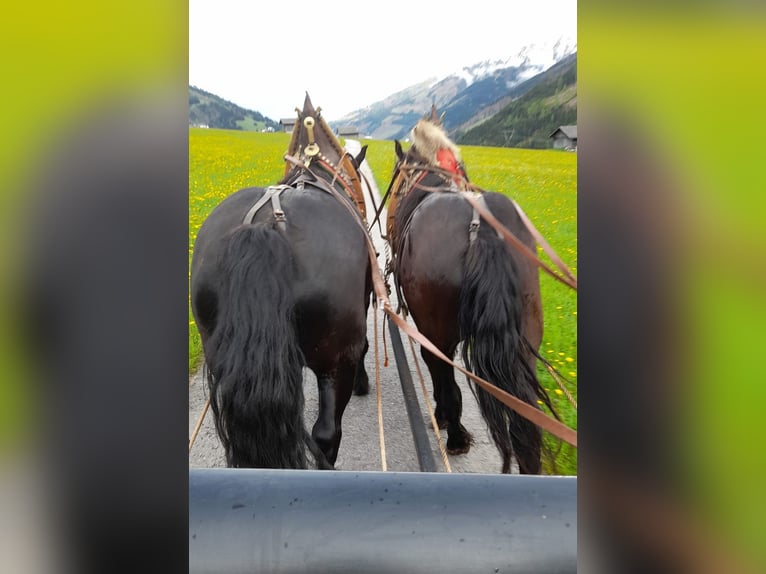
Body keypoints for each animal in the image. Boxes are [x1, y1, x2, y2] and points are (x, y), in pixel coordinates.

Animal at [386, 109, 556, 474]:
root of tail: (483, 225)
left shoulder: (431, 334)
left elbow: (442, 379)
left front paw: (444, 420)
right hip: (526, 337)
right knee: (526, 425)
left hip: (437, 332)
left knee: (448, 382)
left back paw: (454, 437)